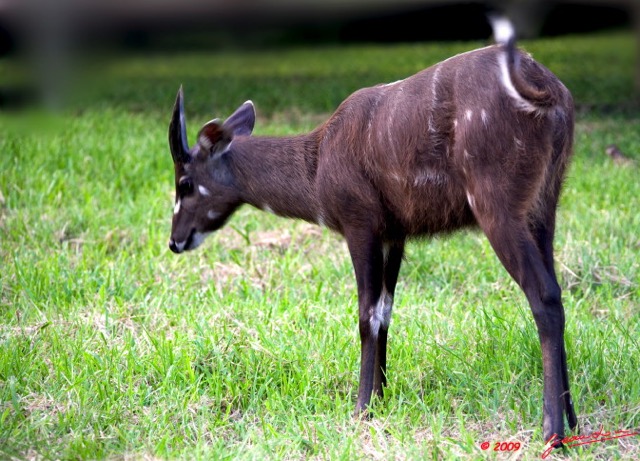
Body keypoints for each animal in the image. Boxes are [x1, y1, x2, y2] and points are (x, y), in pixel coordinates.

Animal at [166, 17, 580, 438]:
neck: (318, 164)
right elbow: (386, 311)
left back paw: (553, 432)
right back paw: (573, 420)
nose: (174, 241)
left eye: (185, 183)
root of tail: (545, 87)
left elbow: (368, 316)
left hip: (498, 207)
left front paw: (361, 409)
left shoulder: (360, 224)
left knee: (543, 295)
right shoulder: (394, 235)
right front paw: (380, 400)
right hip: (544, 206)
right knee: (556, 289)